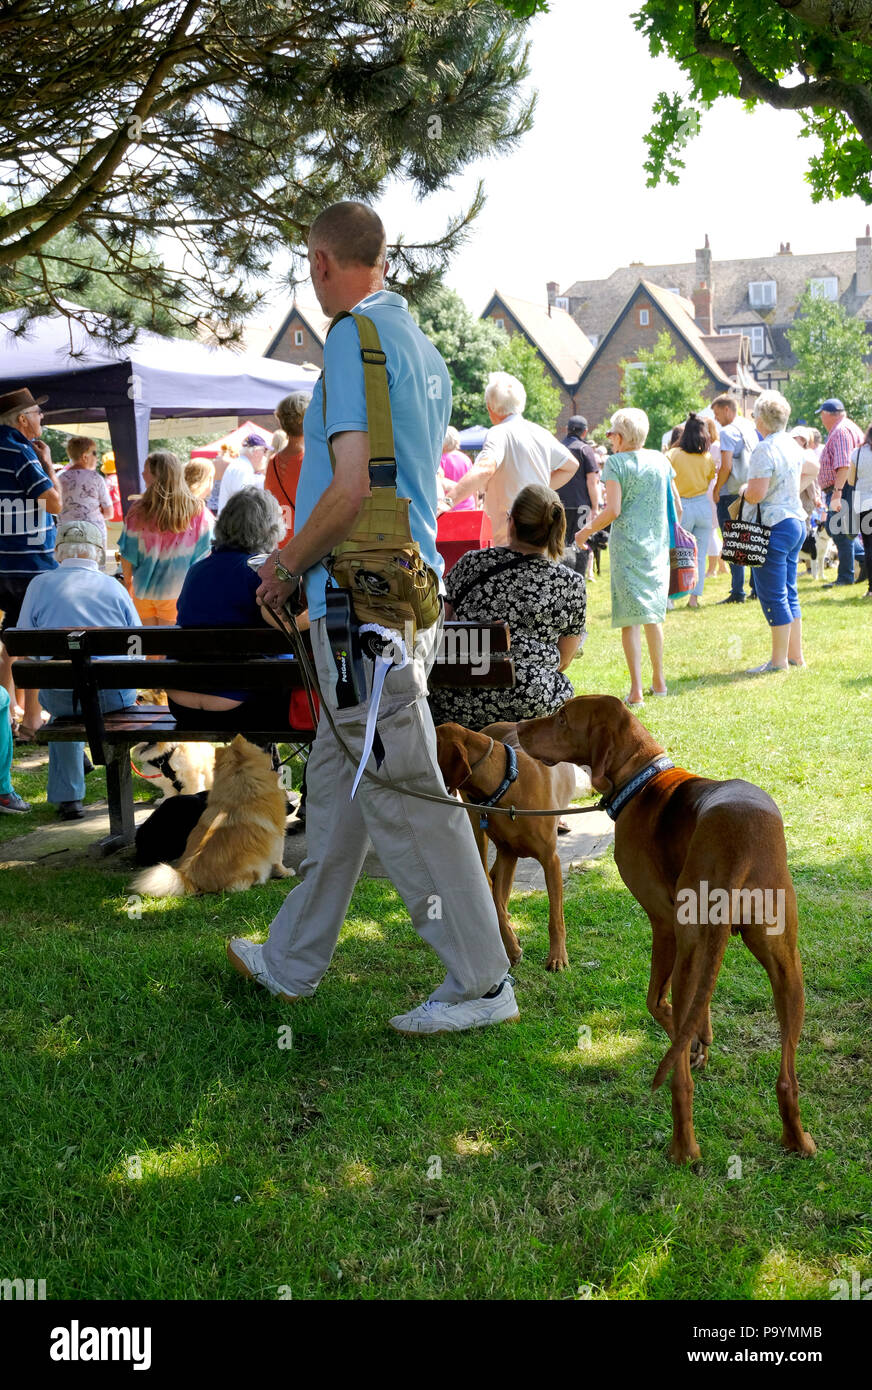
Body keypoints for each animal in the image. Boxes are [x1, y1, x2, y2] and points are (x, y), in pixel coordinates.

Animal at [433, 722, 581, 973]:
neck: (508, 783)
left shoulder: (550, 860)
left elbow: (555, 917)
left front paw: (557, 957)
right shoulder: (507, 852)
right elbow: (495, 901)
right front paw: (512, 948)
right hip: (479, 828)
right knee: (490, 881)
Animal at [517, 695, 812, 1162]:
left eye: (563, 717)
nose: (519, 728)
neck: (642, 779)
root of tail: (741, 843)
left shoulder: (664, 925)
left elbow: (658, 1005)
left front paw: (691, 1045)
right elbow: (696, 1015)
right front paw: (701, 1040)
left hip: (692, 948)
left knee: (678, 1078)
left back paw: (683, 1148)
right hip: (786, 967)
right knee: (787, 1076)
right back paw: (797, 1141)